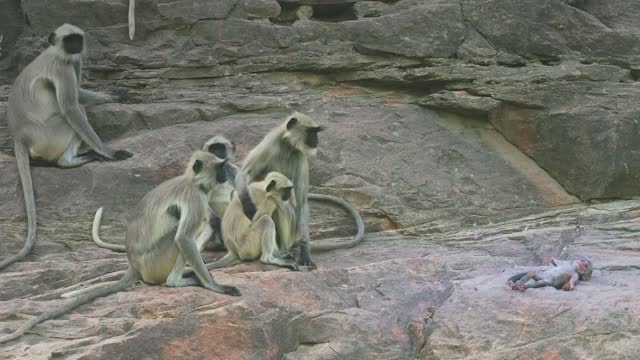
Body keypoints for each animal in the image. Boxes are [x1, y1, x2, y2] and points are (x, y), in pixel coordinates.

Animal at [0, 23, 132, 272]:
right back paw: (72, 160)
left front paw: (114, 95)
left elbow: (79, 93)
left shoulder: (74, 61)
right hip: (50, 134)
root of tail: (19, 136)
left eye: (77, 39)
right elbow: (72, 105)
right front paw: (107, 152)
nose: (75, 46)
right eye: (68, 40)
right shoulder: (63, 67)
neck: (57, 52)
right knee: (75, 113)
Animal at [0, 150, 240, 344]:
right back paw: (177, 280)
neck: (192, 181)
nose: (225, 174)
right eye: (220, 167)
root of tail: (133, 266)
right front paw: (216, 286)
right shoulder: (195, 197)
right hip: (155, 261)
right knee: (184, 234)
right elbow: (183, 238)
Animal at [235, 112, 364, 270]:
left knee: (282, 207)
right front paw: (249, 207)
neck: (286, 145)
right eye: (311, 131)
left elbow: (301, 203)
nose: (316, 140)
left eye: (316, 132)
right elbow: (244, 173)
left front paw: (305, 255)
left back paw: (285, 251)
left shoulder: (300, 156)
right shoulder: (269, 143)